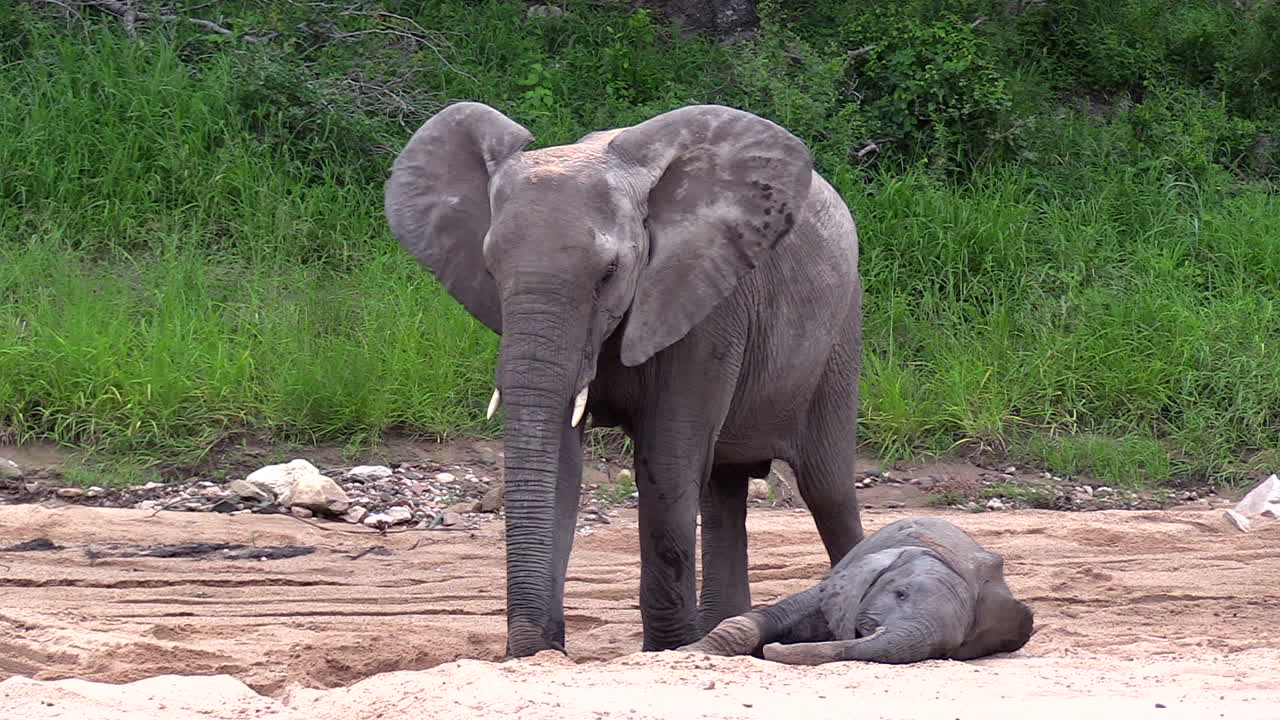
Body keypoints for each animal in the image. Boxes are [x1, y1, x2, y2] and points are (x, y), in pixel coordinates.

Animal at [384, 101, 865, 658]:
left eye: (610, 271)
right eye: (489, 268)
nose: (527, 651)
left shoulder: (704, 302)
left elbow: (667, 464)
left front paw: (667, 652)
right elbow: (562, 464)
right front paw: (542, 652)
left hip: (841, 331)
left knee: (827, 487)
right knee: (722, 488)